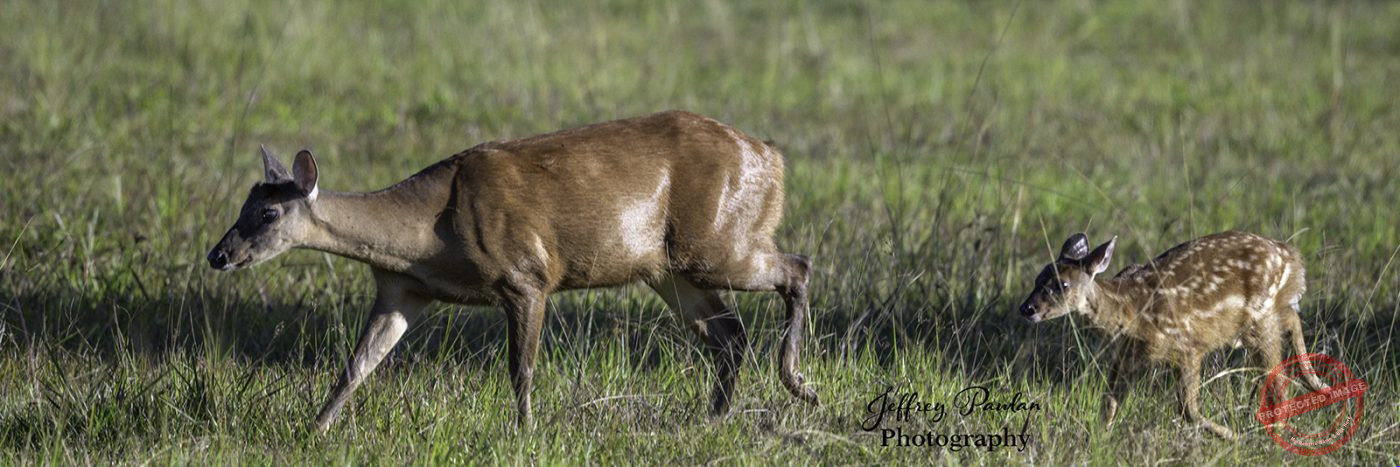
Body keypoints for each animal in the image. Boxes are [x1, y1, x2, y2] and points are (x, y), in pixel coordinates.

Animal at [206, 110, 820, 433]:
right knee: (729, 333)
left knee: (797, 267)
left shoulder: (526, 275)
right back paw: (713, 418)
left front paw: (524, 432)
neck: (431, 234)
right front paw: (312, 430)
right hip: (670, 269)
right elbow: (355, 367)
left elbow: (519, 369)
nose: (218, 255)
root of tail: (773, 158)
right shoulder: (403, 290)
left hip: (717, 243)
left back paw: (799, 384)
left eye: (268, 213)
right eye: (242, 204)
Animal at [1017, 231, 1328, 439]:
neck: (1129, 312)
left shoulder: (1188, 347)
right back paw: (1318, 384)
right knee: (1291, 320)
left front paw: (1231, 436)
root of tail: (1292, 256)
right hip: (1261, 319)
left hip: (1260, 319)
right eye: (1037, 278)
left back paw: (1281, 426)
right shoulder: (1127, 357)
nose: (1027, 308)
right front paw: (1099, 439)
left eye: (1062, 284)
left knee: (1278, 376)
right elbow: (1110, 401)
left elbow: (1187, 409)